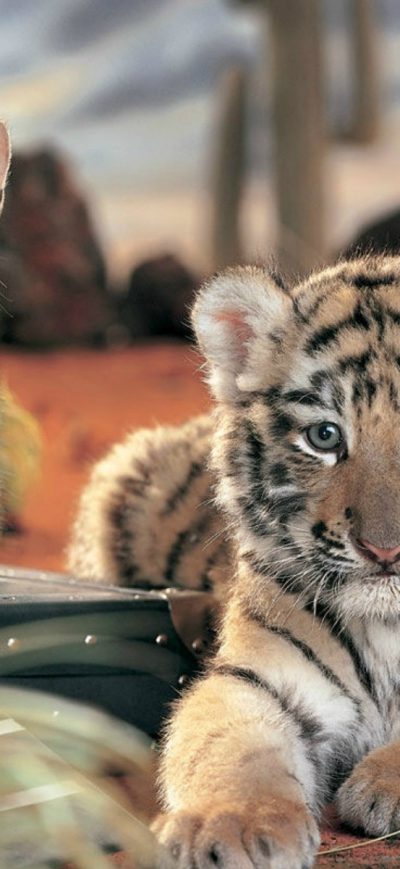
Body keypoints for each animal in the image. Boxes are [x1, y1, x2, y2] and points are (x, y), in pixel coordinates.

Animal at [69, 256, 400, 867]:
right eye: (324, 436)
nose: (384, 550)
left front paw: (380, 786)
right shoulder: (252, 678)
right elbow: (231, 749)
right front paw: (231, 827)